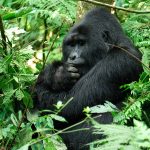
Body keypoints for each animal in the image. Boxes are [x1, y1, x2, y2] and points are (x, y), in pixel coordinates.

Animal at [33, 7, 142, 149]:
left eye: (81, 43)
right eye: (71, 45)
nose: (72, 57)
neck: (114, 44)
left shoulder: (120, 62)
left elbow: (66, 106)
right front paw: (57, 75)